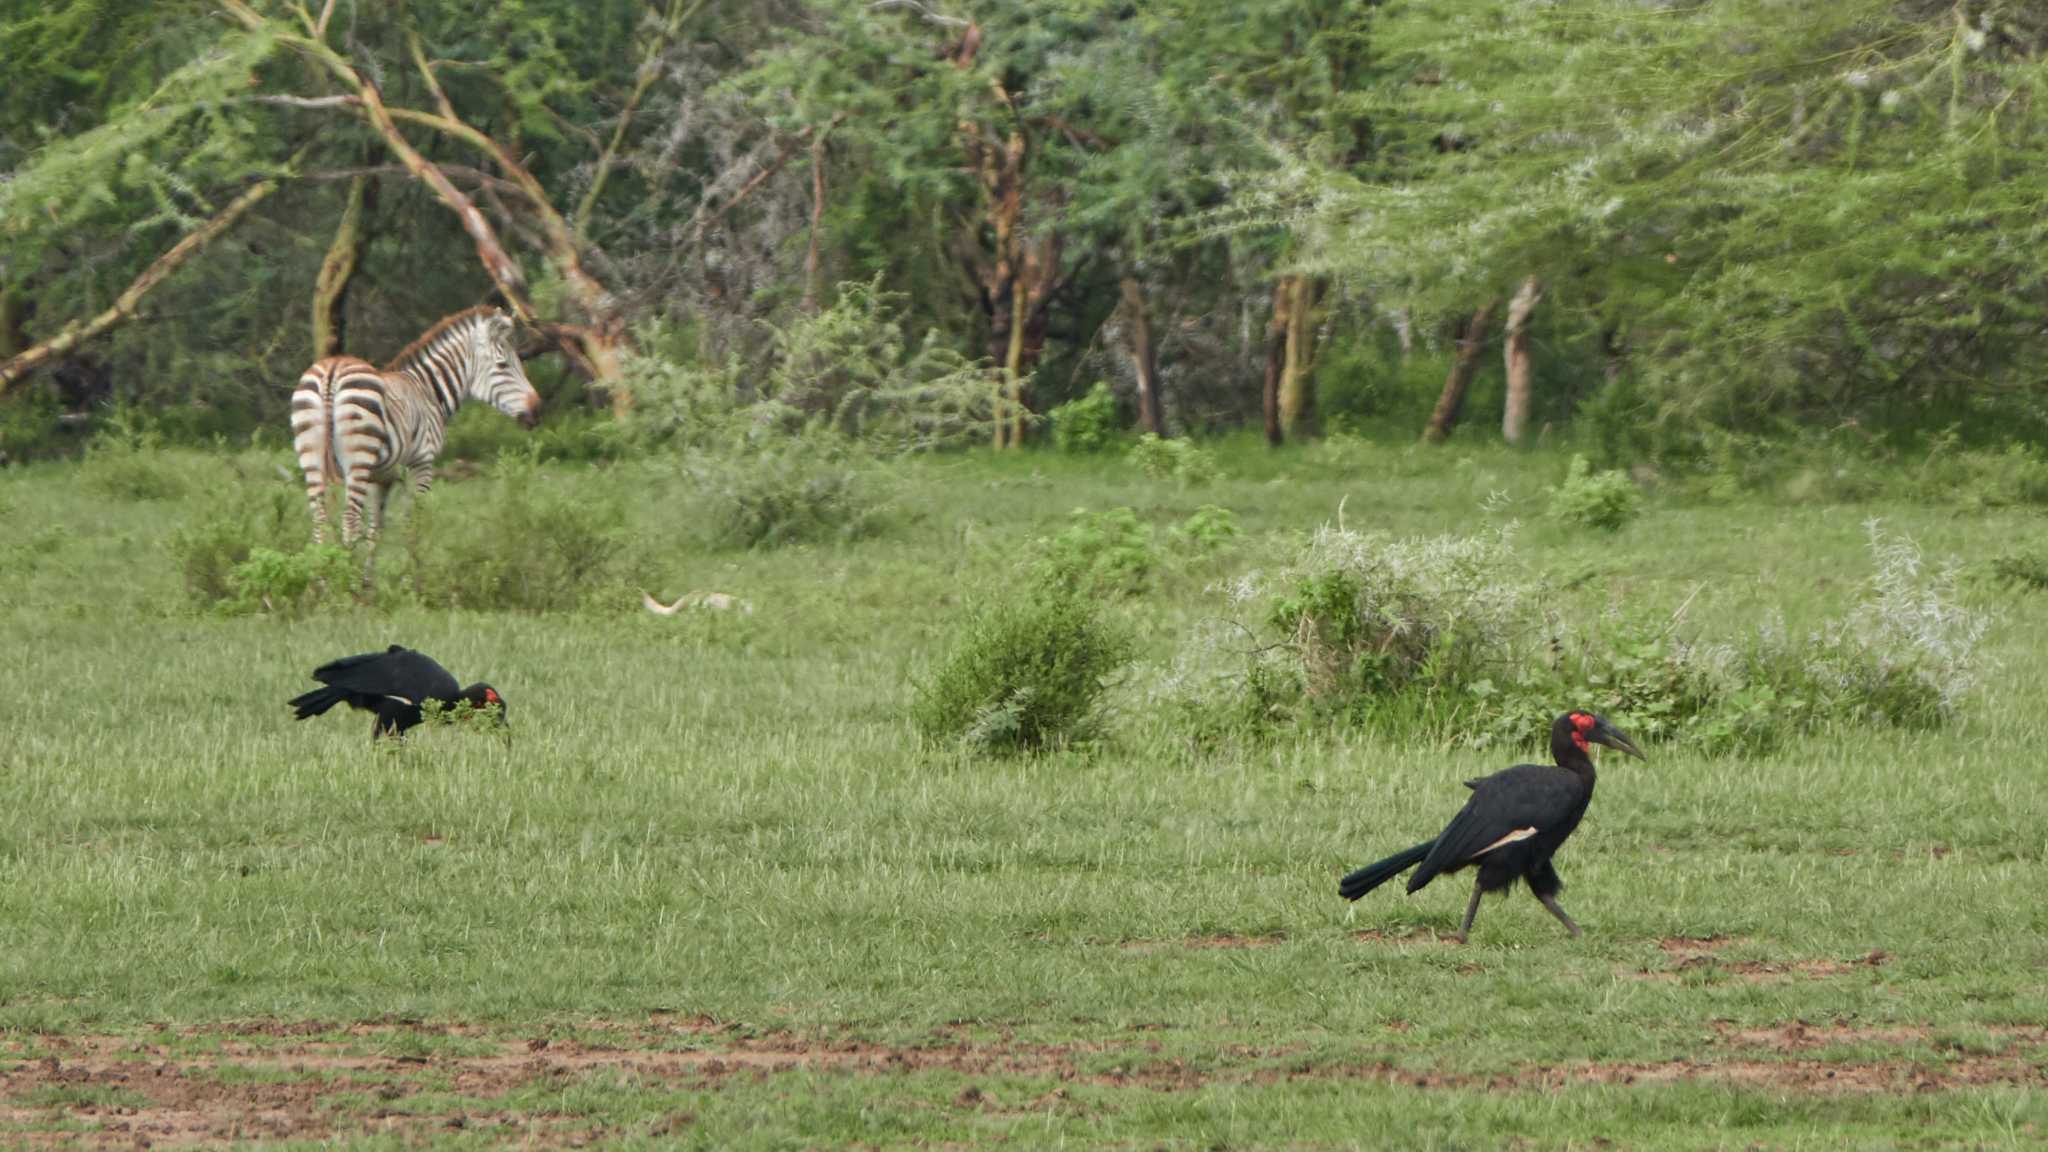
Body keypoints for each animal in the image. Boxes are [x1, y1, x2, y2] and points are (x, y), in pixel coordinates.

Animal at [294, 305, 544, 573]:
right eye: (503, 365)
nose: (537, 410)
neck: (427, 391)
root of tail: (332, 371)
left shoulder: (380, 478)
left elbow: (375, 533)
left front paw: (367, 582)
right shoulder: (421, 463)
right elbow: (413, 527)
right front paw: (412, 578)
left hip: (313, 458)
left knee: (320, 522)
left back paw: (323, 579)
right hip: (357, 461)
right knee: (349, 522)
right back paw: (343, 578)